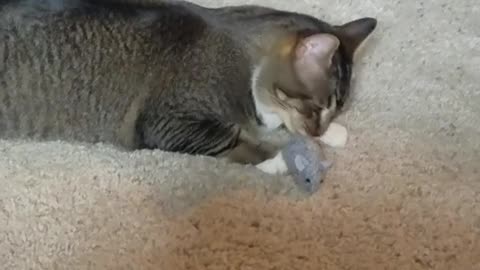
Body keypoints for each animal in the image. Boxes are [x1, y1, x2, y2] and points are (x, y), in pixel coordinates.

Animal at [0, 0, 376, 173]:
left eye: (335, 108)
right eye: (313, 106)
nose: (317, 130)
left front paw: (332, 134)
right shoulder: (168, 124)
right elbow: (233, 137)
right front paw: (284, 159)